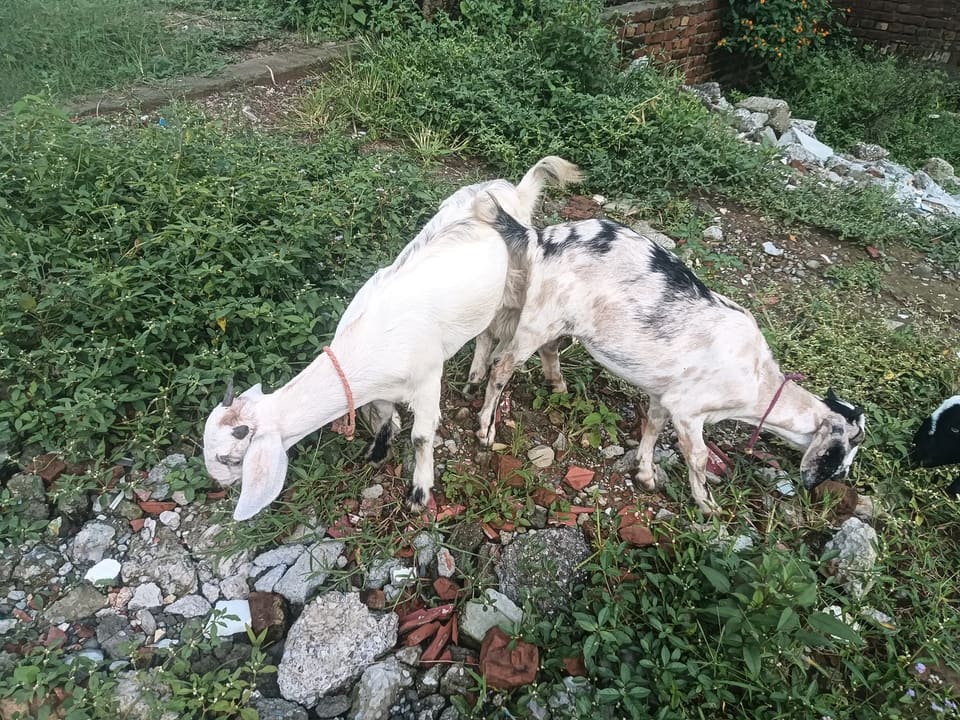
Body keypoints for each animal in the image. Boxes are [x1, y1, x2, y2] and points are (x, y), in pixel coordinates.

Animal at [203, 157, 580, 521]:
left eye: (231, 459)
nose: (218, 485)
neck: (369, 343)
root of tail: (511, 190)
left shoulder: (427, 381)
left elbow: (421, 437)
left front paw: (419, 493)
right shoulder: (380, 389)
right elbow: (384, 417)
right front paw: (377, 452)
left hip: (514, 287)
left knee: (502, 336)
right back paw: (474, 379)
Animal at [473, 198, 866, 515]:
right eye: (847, 450)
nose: (838, 479)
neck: (757, 380)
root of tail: (541, 238)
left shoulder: (665, 395)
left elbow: (652, 426)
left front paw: (646, 474)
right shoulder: (689, 409)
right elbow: (699, 456)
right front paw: (707, 505)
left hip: (556, 319)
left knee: (547, 348)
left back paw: (558, 386)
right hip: (538, 319)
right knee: (502, 367)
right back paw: (486, 429)